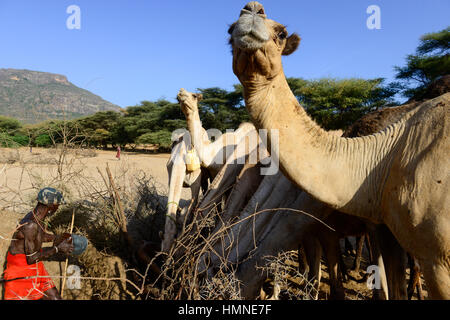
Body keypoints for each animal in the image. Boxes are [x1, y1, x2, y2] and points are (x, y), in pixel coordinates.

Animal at [230, 1, 448, 298]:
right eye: (229, 31)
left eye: (282, 33)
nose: (253, 9)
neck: (384, 156)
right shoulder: (385, 229)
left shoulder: (437, 257)